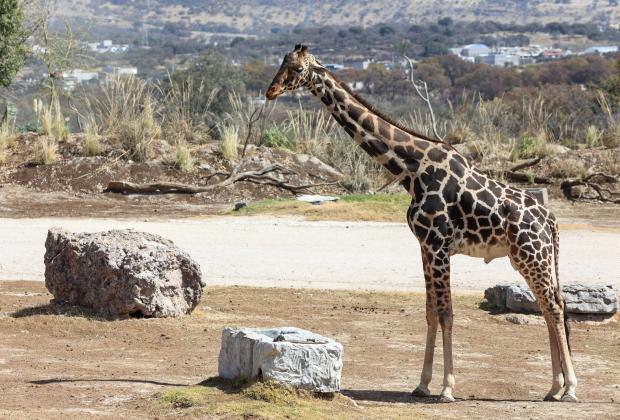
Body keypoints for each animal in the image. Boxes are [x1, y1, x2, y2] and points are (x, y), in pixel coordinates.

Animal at [264, 44, 580, 402]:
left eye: (296, 68)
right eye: (282, 63)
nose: (270, 90)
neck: (412, 169)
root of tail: (551, 220)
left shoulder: (438, 246)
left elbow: (447, 314)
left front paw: (446, 388)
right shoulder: (425, 247)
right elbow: (431, 312)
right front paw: (422, 384)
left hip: (532, 256)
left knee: (554, 305)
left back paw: (569, 388)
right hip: (530, 258)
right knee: (549, 305)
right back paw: (553, 388)